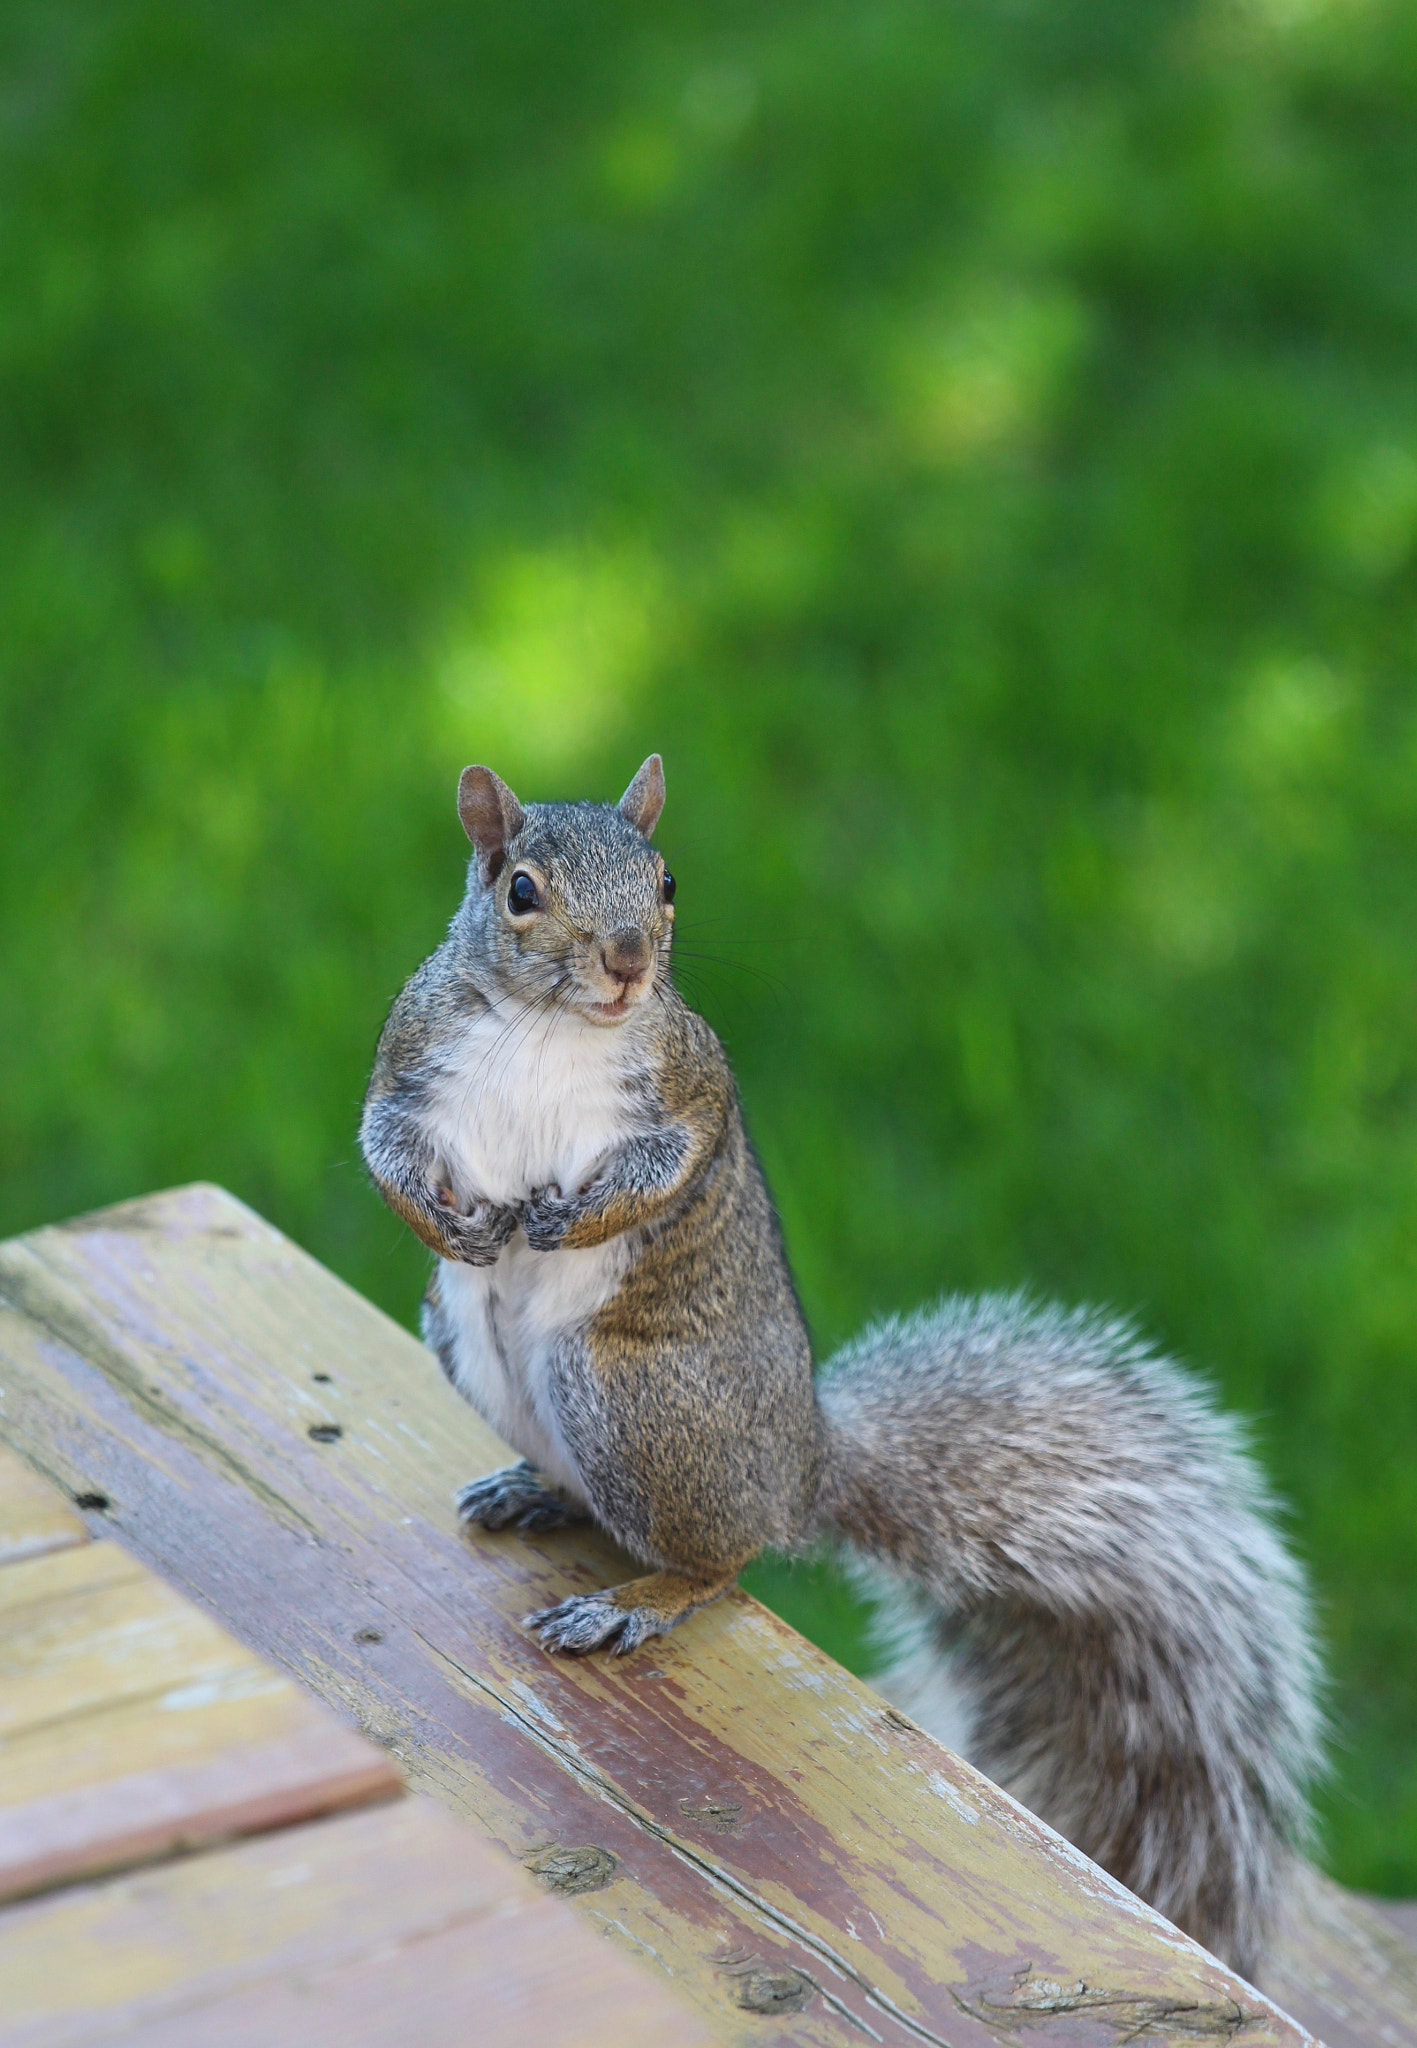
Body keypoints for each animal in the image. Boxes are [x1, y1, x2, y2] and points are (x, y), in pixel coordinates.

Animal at [360, 753, 1323, 1981]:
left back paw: (637, 1599)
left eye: (665, 881)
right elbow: (384, 1146)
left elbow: (663, 1169)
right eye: (520, 890)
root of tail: (800, 1468)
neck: (549, 1028)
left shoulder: (689, 1085)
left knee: (721, 1562)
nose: (628, 962)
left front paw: (561, 1220)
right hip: (486, 1351)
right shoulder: (408, 1057)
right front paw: (454, 1226)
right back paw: (534, 1489)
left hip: (624, 1398)